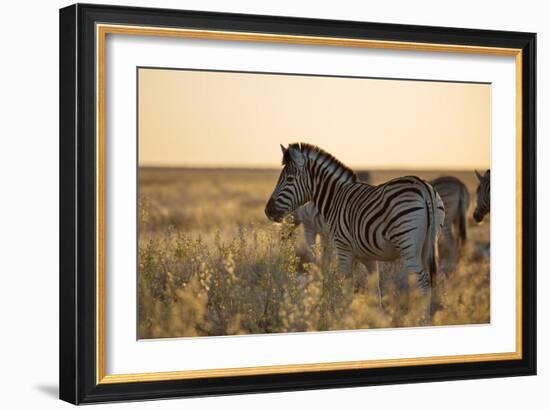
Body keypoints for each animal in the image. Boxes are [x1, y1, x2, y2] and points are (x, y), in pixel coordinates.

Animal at [268, 143, 448, 316]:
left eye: (289, 179)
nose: (267, 210)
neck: (335, 199)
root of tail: (424, 186)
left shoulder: (343, 250)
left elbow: (347, 289)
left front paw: (345, 317)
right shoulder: (368, 256)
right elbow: (375, 290)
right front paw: (378, 318)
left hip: (408, 247)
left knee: (423, 284)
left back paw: (422, 319)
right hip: (428, 244)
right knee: (429, 282)